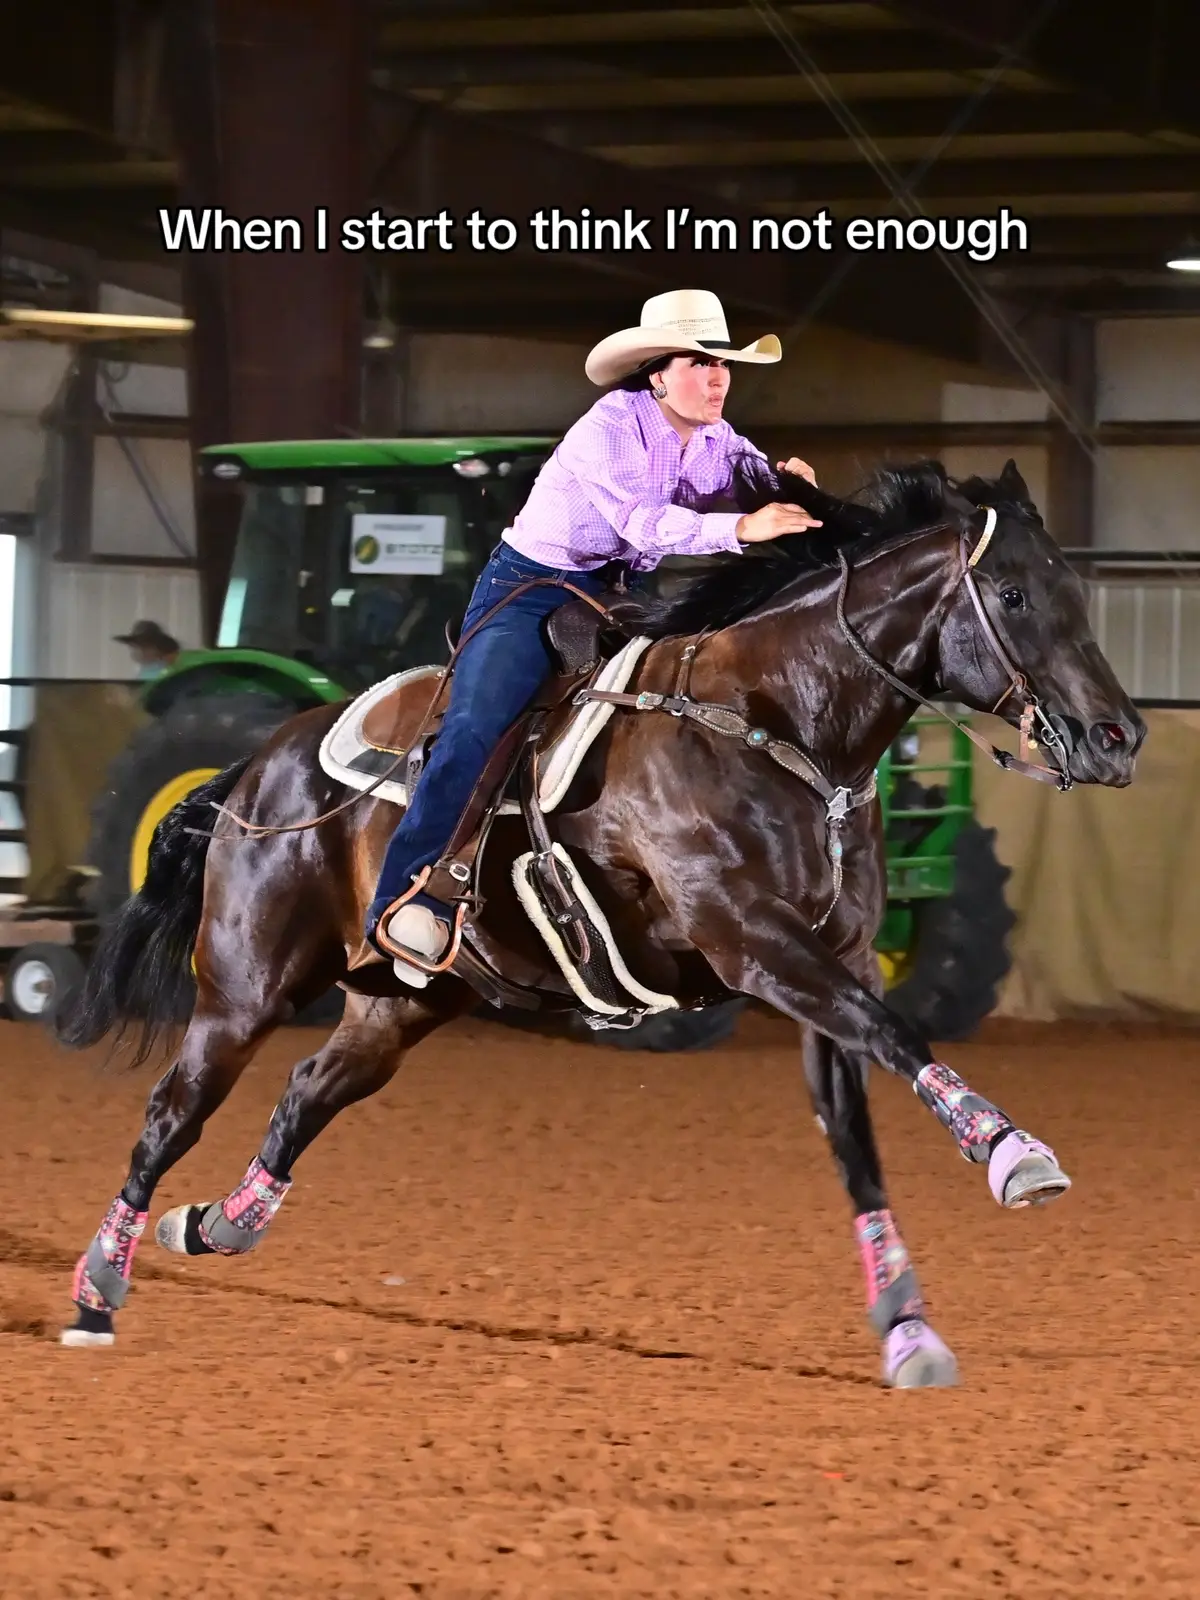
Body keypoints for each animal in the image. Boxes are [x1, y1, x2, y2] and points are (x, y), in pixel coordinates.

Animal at [55, 456, 1144, 1386]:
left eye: (1074, 593)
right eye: (1013, 595)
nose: (1119, 735)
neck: (777, 722)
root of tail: (254, 767)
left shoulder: (826, 970)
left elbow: (857, 1135)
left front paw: (910, 1329)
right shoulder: (752, 940)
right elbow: (900, 1034)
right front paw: (1015, 1155)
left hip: (403, 1002)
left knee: (306, 1093)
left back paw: (214, 1226)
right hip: (243, 989)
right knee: (171, 1113)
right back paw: (96, 1294)